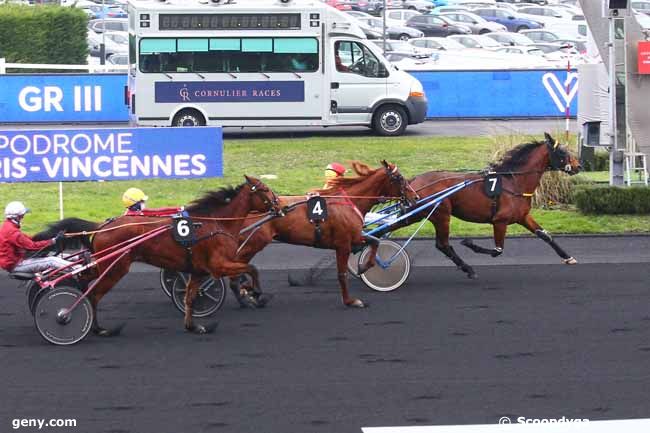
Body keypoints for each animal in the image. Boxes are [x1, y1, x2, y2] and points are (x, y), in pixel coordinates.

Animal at [33, 176, 280, 334]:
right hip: (116, 268)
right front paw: (255, 292)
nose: (280, 206)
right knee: (93, 295)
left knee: (82, 278)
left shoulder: (199, 270)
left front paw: (193, 326)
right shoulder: (218, 265)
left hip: (104, 264)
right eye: (265, 189)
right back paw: (93, 326)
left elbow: (190, 297)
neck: (216, 223)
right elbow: (252, 269)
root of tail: (102, 226)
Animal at [230, 161, 418, 308]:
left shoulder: (354, 237)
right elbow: (342, 274)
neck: (349, 202)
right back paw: (245, 291)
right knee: (235, 266)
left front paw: (363, 266)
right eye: (399, 178)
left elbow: (374, 241)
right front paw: (350, 301)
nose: (415, 197)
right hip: (254, 243)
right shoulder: (343, 244)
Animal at [398, 133, 580, 278]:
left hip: (418, 214)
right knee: (443, 244)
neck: (514, 182)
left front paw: (568, 257)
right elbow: (497, 250)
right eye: (562, 152)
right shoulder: (500, 221)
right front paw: (469, 243)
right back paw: (468, 269)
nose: (578, 166)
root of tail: (413, 181)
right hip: (441, 215)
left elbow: (545, 235)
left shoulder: (522, 217)